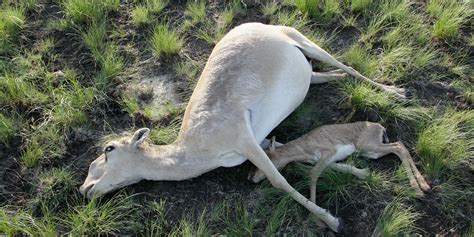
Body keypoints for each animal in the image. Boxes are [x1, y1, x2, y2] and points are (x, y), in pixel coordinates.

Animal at [80, 22, 408, 231]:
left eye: (108, 149)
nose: (85, 189)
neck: (196, 147)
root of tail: (253, 24)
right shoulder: (263, 142)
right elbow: (298, 157)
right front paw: (361, 172)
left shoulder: (245, 140)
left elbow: (279, 180)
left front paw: (332, 220)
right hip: (306, 67)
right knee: (323, 75)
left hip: (303, 40)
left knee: (347, 66)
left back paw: (396, 92)